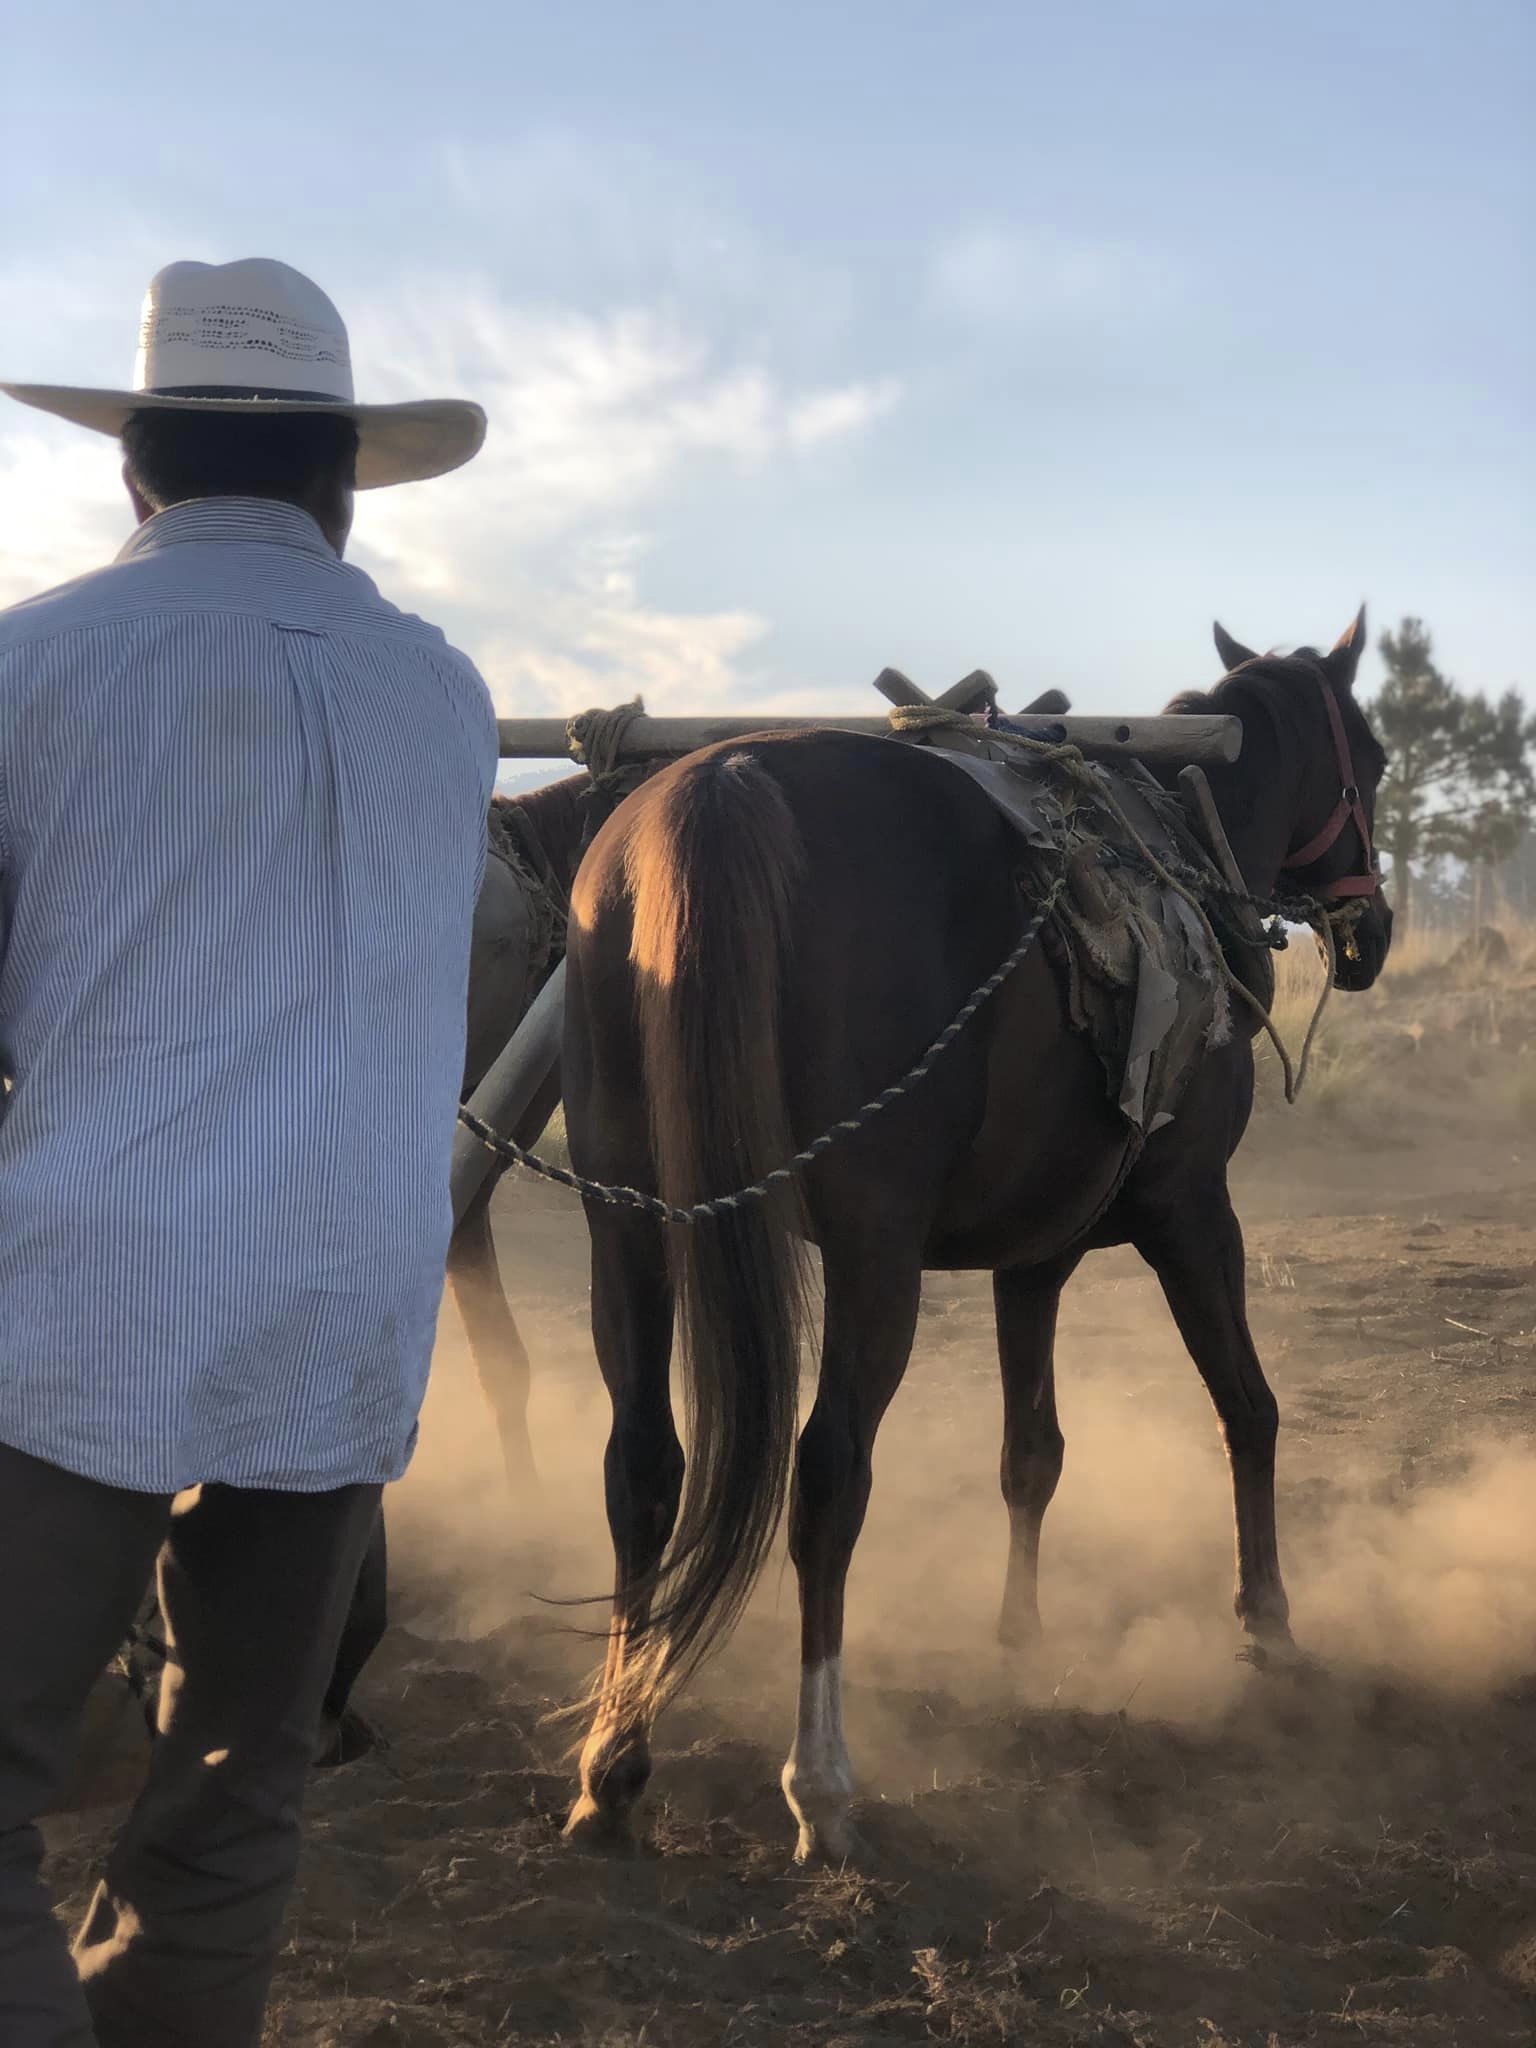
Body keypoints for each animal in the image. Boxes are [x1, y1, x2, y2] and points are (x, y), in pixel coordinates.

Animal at [561, 606, 1392, 1859]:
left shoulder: (1031, 1257)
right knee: (827, 1475)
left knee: (642, 1463)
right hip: (872, 1255)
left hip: (628, 1225)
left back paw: (615, 1758)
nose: (1373, 927)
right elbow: (1248, 1406)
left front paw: (1017, 1638)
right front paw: (1269, 1623)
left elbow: (1029, 1452)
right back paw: (821, 1778)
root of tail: (728, 780)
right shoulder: (1195, 1209)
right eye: (1376, 761)